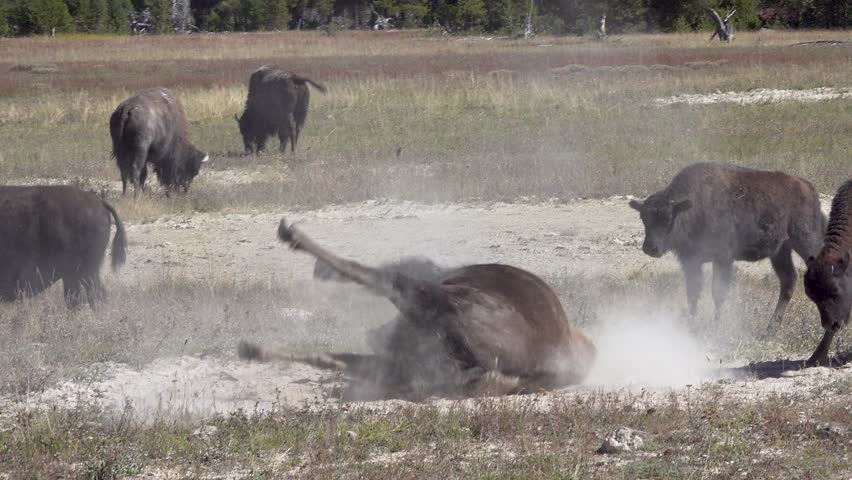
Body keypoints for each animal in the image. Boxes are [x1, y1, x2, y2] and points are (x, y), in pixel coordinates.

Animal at [238, 219, 597, 401]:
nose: (376, 335)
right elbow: (330, 356)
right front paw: (253, 348)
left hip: (422, 298)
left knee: (377, 277)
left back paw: (294, 235)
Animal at [630, 162, 825, 327]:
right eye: (643, 218)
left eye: (668, 218)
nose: (650, 248)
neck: (691, 208)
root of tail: (808, 188)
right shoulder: (691, 261)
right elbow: (693, 292)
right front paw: (692, 323)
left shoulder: (723, 259)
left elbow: (718, 292)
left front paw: (717, 325)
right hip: (780, 251)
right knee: (788, 280)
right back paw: (770, 328)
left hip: (806, 241)